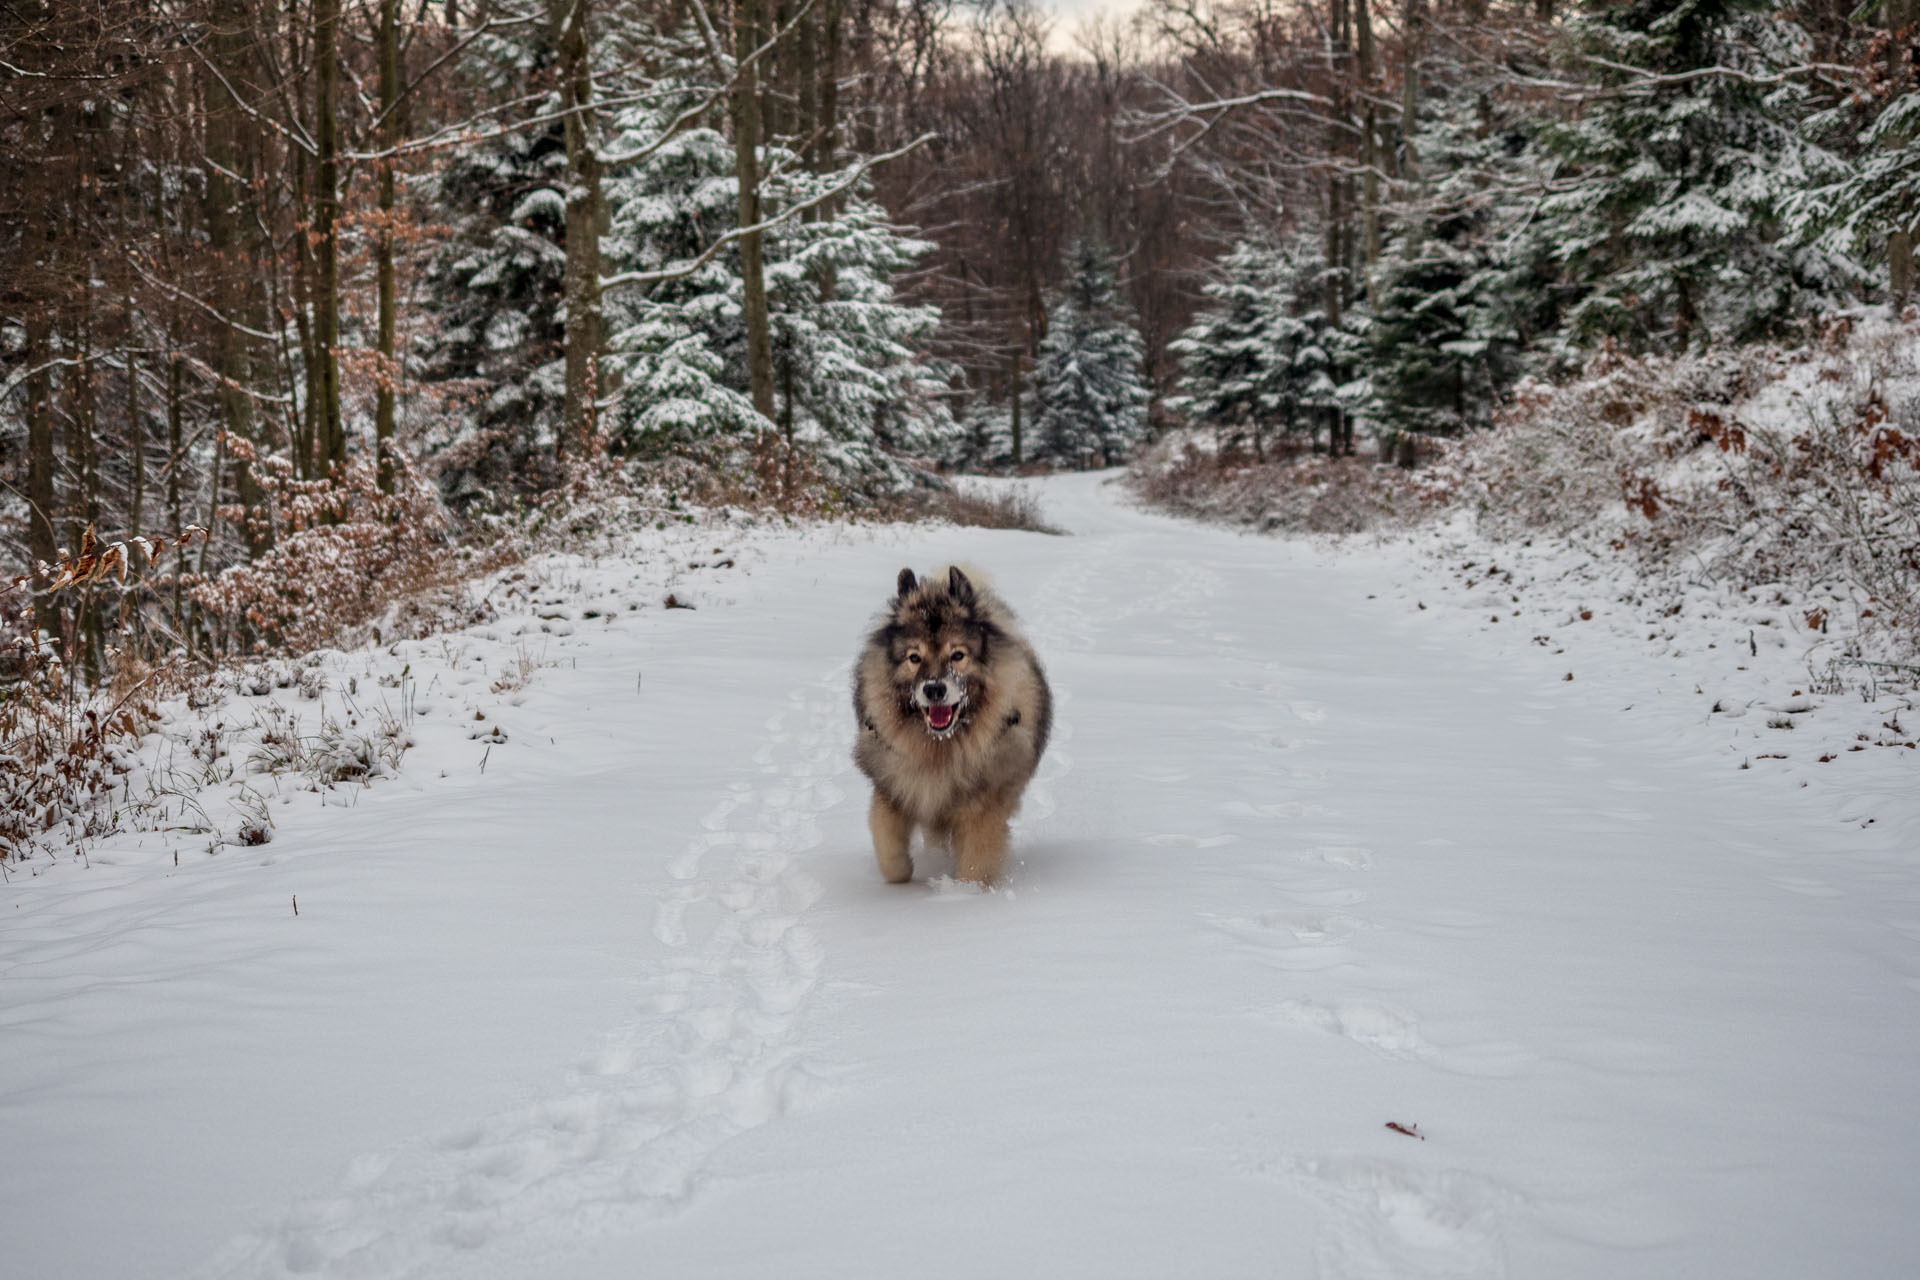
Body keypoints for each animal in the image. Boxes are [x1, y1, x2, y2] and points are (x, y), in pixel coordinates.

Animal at [856, 564, 1059, 886]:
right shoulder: (895, 784)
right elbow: (884, 835)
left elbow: (977, 857)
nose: (934, 689)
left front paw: (965, 892)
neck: (940, 747)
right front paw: (901, 876)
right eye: (914, 657)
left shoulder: (984, 802)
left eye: (958, 655)